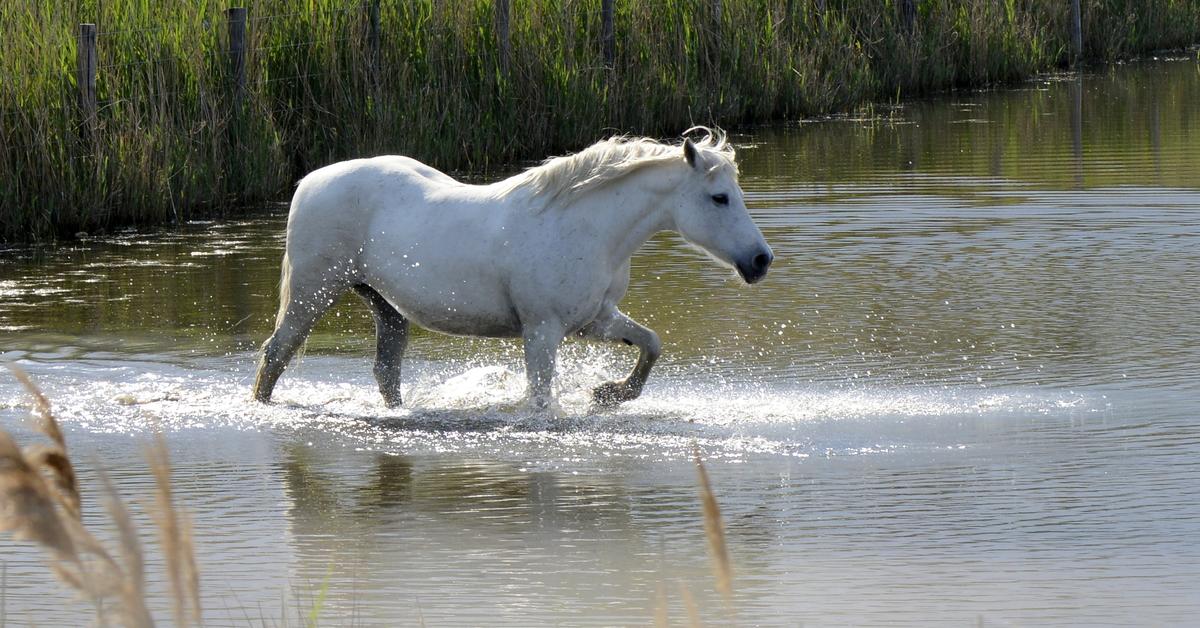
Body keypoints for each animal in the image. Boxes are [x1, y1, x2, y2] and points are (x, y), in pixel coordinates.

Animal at [256, 130, 772, 410]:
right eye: (719, 198)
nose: (760, 260)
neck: (584, 226)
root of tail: (310, 181)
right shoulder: (542, 331)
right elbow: (540, 400)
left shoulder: (595, 320)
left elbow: (651, 345)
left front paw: (609, 393)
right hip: (313, 293)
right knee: (276, 354)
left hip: (385, 306)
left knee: (386, 373)